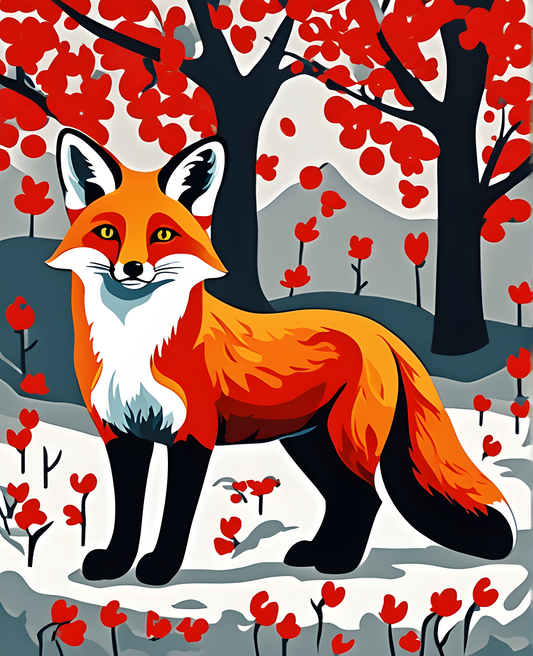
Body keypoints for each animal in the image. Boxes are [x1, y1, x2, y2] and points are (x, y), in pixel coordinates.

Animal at [47, 128, 515, 586]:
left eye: (163, 236)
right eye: (107, 233)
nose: (132, 268)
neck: (134, 341)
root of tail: (381, 331)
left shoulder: (193, 434)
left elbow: (175, 515)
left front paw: (160, 568)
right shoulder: (120, 434)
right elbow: (127, 512)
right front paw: (114, 564)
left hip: (344, 440)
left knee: (367, 498)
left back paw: (340, 564)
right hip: (309, 443)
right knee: (343, 497)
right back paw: (316, 554)